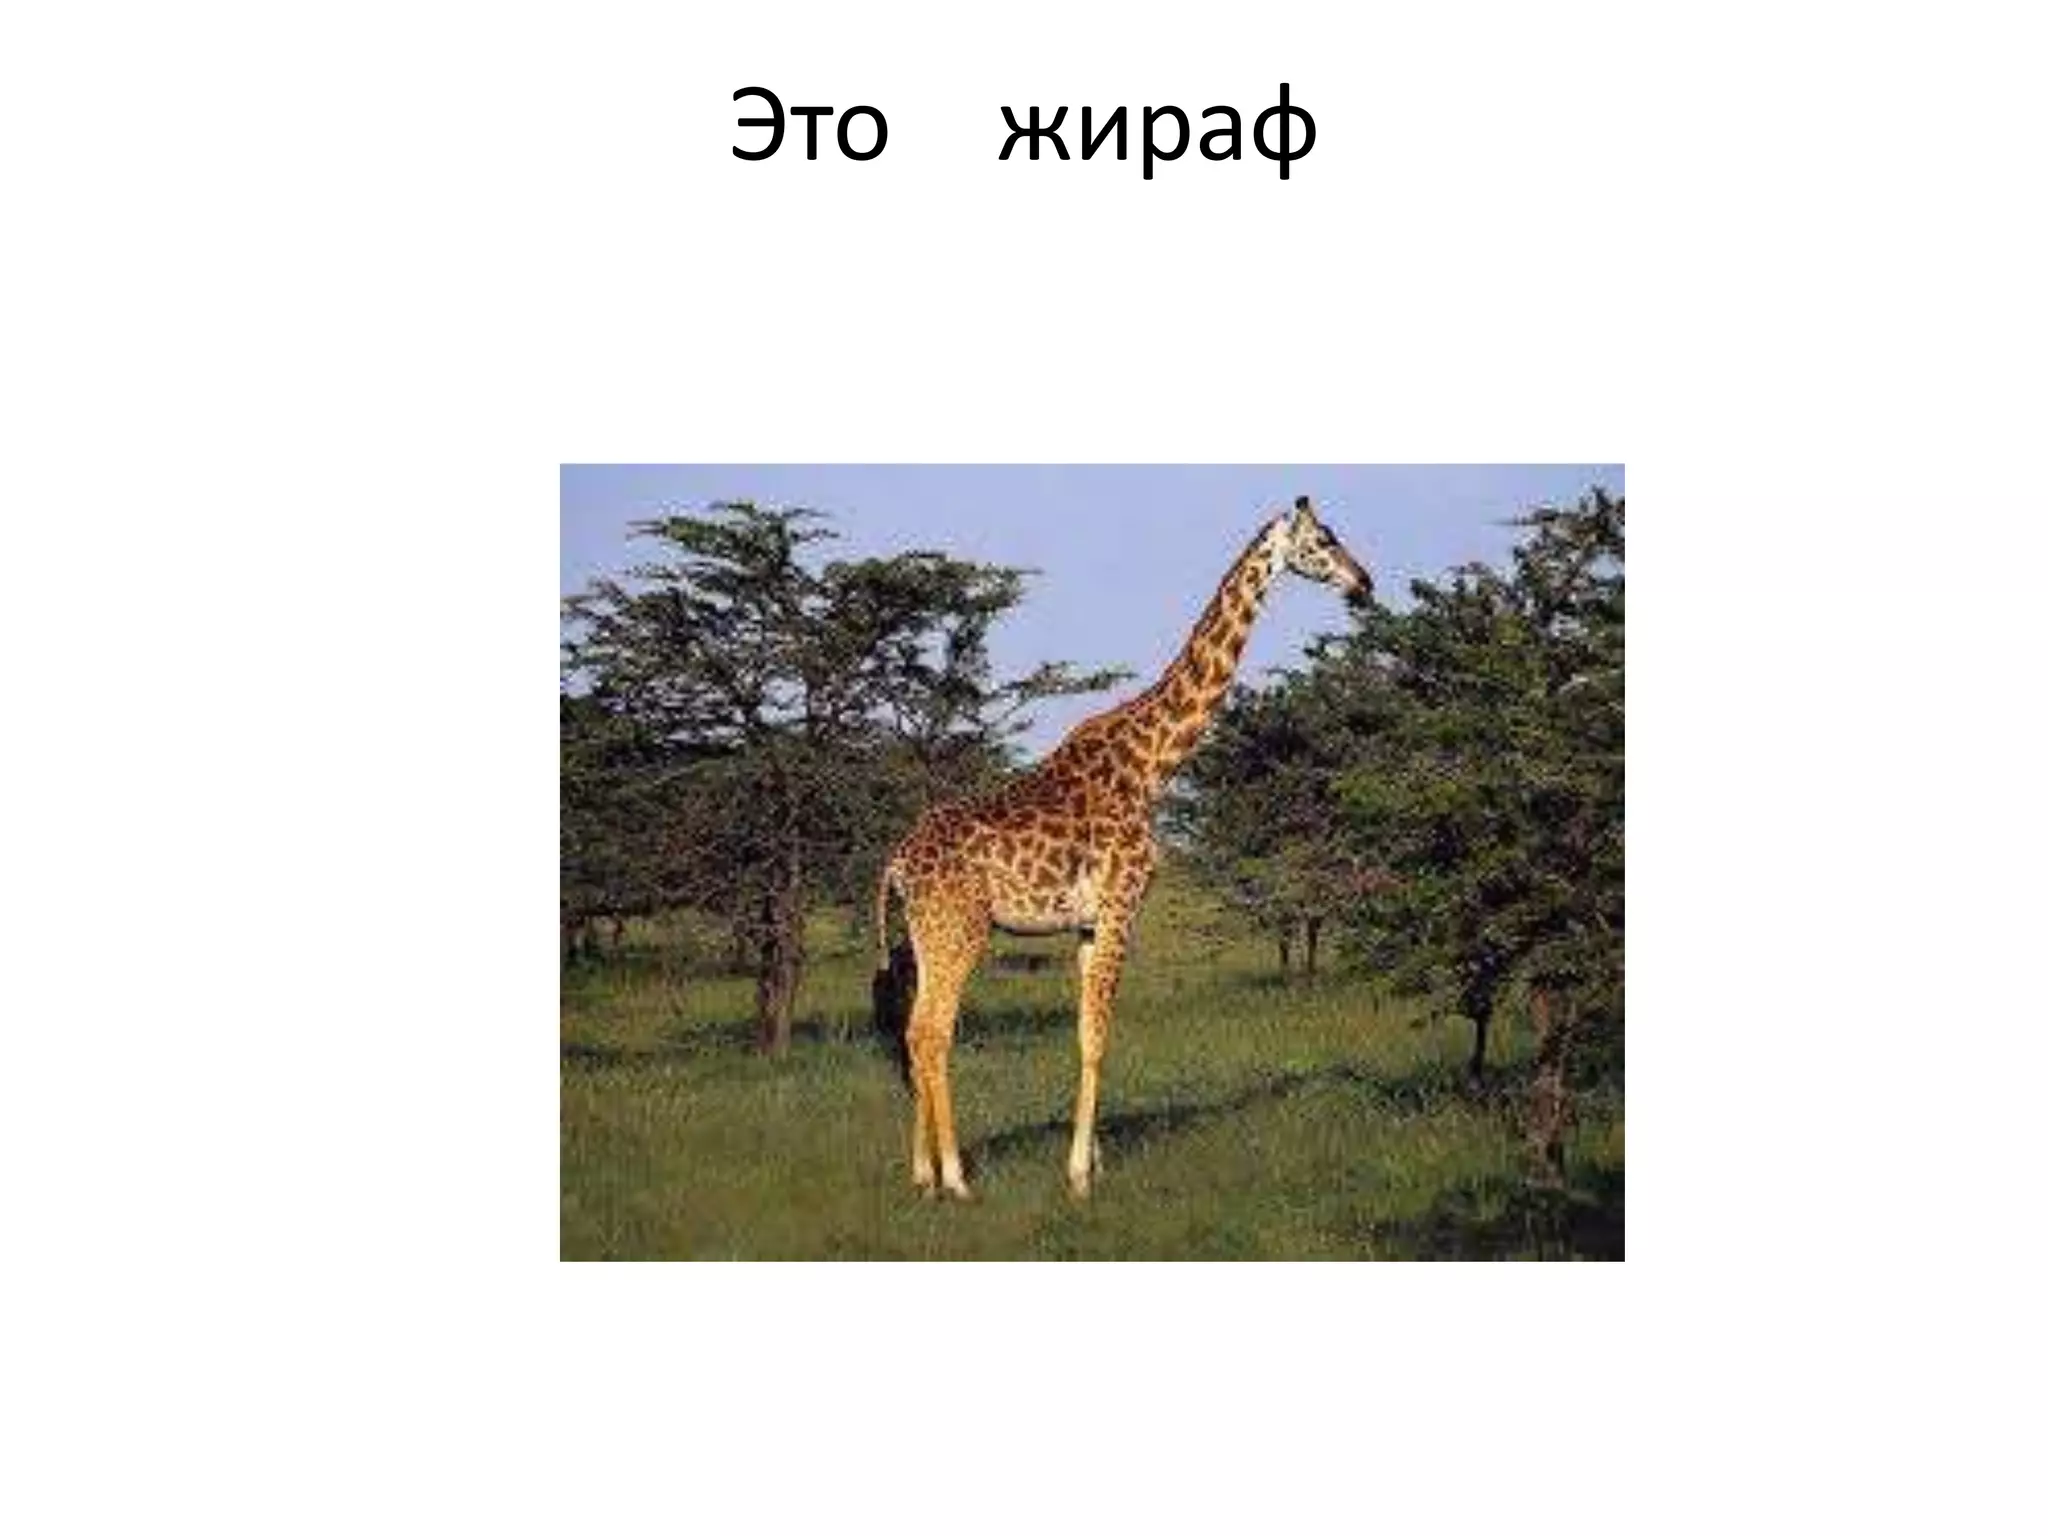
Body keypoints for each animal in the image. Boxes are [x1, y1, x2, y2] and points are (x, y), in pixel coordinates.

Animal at [873, 496, 1373, 1199]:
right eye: (1325, 539)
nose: (1365, 583)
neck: (1153, 762)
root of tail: (895, 864)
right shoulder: (1122, 904)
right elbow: (1098, 1037)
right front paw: (1080, 1175)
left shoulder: (1088, 921)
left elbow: (1085, 1034)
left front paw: (1096, 1160)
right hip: (961, 929)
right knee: (932, 1032)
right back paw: (955, 1178)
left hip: (924, 934)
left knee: (915, 1033)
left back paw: (921, 1175)